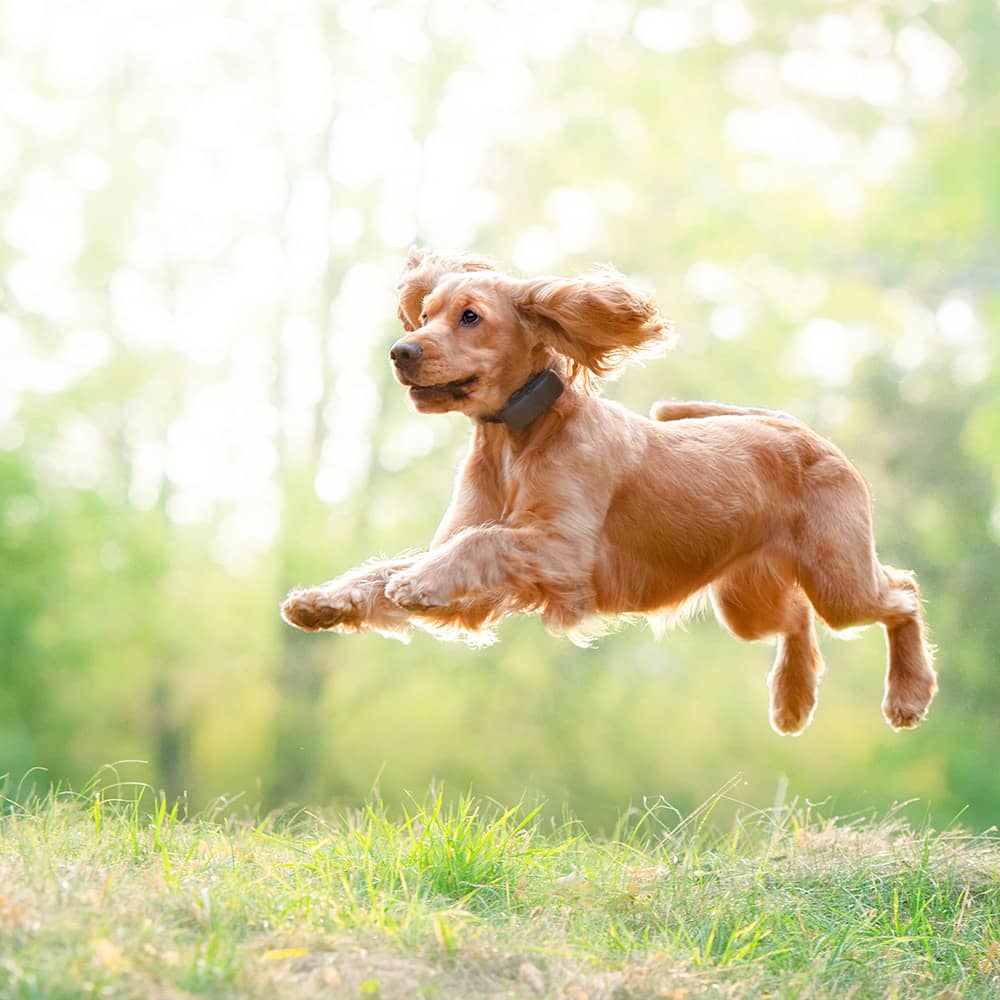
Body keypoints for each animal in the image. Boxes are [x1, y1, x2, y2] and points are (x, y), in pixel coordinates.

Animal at [282, 250, 936, 736]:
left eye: (470, 316)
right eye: (424, 314)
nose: (402, 351)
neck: (519, 439)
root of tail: (798, 428)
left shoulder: (561, 554)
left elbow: (480, 543)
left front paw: (413, 585)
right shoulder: (469, 561)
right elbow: (382, 572)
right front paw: (320, 602)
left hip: (838, 578)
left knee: (902, 593)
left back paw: (908, 694)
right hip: (747, 600)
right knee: (798, 619)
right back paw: (792, 699)